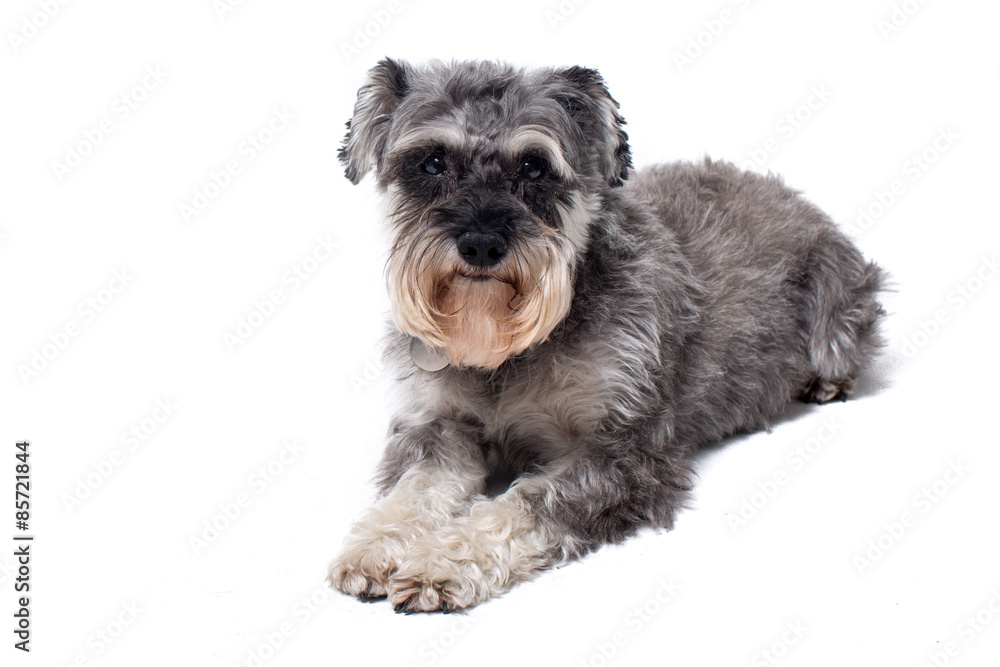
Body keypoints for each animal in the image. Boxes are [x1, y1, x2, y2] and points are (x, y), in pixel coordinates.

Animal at [326, 60, 884, 612]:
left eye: (534, 167)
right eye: (433, 162)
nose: (481, 244)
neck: (510, 349)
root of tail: (795, 196)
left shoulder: (623, 454)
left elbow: (527, 502)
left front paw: (443, 560)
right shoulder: (439, 426)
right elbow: (413, 488)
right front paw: (374, 544)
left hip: (836, 310)